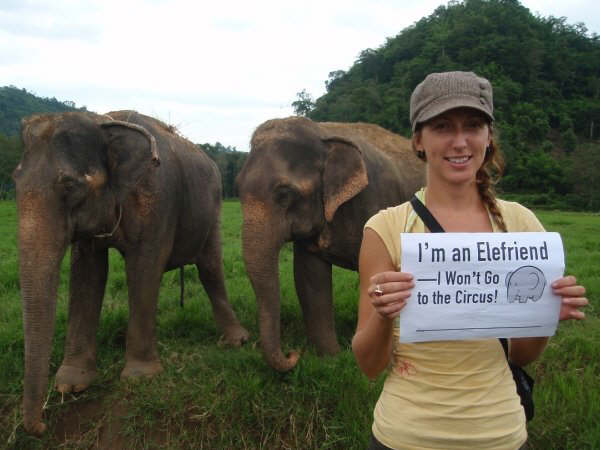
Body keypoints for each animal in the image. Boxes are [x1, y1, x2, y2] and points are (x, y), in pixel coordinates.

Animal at [13, 110, 249, 434]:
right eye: (14, 181)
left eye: (70, 186)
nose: (41, 427)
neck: (103, 123)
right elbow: (88, 273)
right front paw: (71, 385)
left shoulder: (157, 198)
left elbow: (144, 265)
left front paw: (140, 378)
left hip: (213, 208)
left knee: (210, 267)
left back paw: (236, 342)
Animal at [236, 116, 425, 372]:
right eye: (237, 188)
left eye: (284, 194)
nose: (294, 354)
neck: (322, 133)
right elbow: (310, 278)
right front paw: (331, 359)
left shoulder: (375, 202)